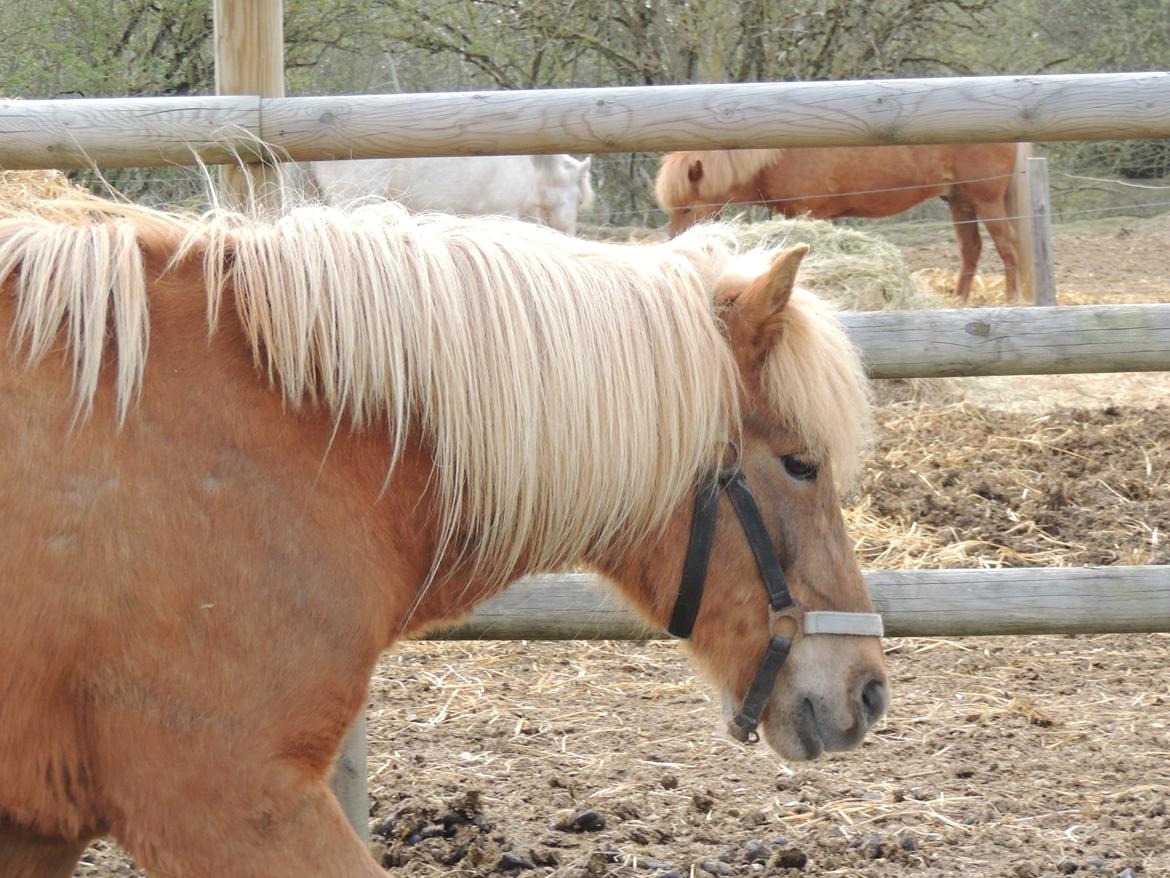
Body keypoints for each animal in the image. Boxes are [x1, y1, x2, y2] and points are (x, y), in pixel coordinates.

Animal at [659, 146, 1024, 304]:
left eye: (686, 207)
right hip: (959, 201)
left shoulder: (809, 211)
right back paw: (959, 301)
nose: (674, 248)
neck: (776, 156)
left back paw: (1013, 300)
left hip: (985, 200)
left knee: (1008, 247)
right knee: (971, 249)